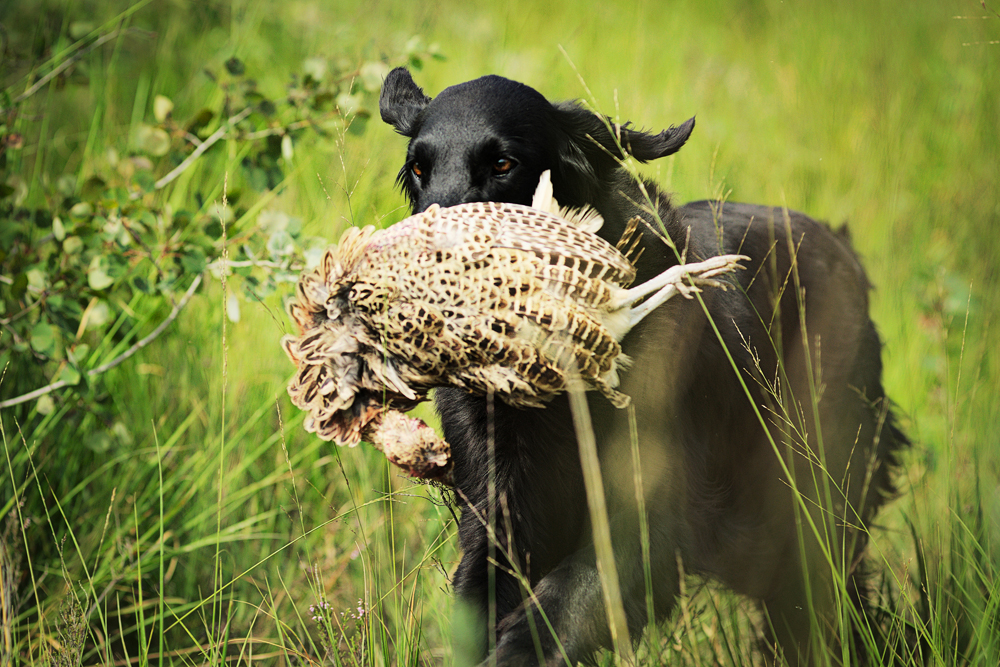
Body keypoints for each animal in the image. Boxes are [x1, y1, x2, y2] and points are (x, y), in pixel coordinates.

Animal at [376, 65, 908, 664]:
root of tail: (843, 250)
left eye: (504, 164)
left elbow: (554, 612)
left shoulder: (647, 521)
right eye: (419, 168)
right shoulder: (501, 514)